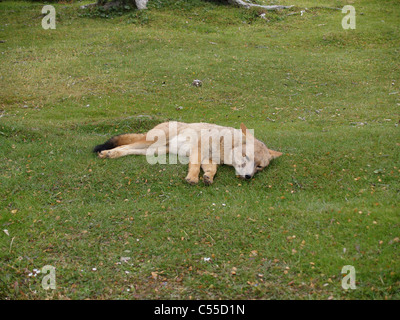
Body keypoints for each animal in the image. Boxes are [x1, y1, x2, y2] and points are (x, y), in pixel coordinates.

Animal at [93, 120, 282, 185]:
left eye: (259, 167)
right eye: (246, 156)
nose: (248, 176)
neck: (222, 146)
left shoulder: (209, 159)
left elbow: (212, 170)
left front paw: (208, 177)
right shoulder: (198, 151)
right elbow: (194, 166)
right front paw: (192, 178)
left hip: (154, 151)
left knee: (129, 150)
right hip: (151, 142)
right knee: (123, 147)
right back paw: (108, 153)